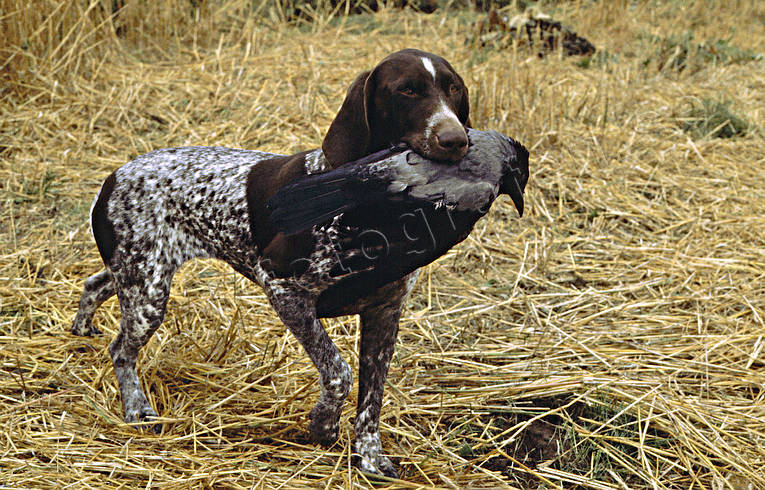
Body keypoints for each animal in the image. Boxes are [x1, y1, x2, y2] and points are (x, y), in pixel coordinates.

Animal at [73, 47, 472, 476]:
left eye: (453, 89)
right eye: (407, 91)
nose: (456, 139)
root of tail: (114, 176)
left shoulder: (385, 313)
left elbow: (372, 398)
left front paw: (369, 456)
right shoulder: (283, 288)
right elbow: (338, 372)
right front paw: (323, 425)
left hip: (137, 274)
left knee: (96, 282)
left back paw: (82, 326)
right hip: (148, 293)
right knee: (121, 349)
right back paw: (135, 408)